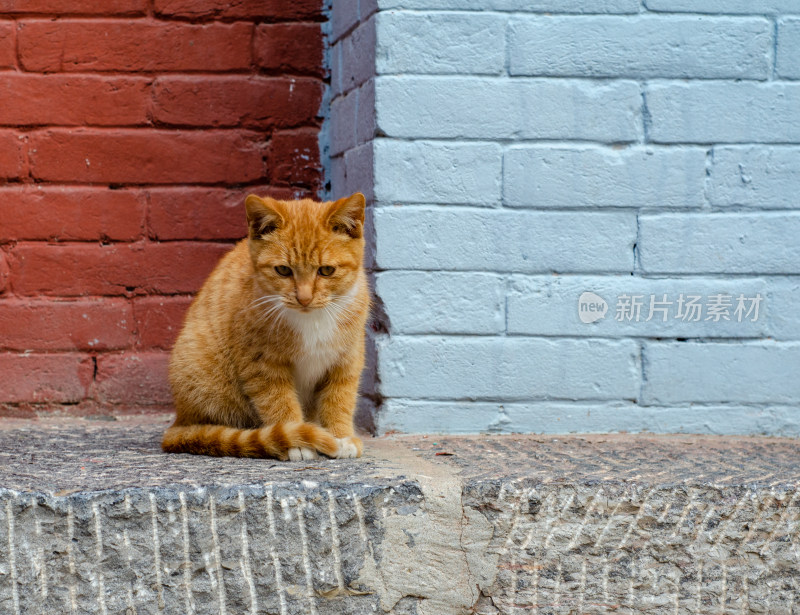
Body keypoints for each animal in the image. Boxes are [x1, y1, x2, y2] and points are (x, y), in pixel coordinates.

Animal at [162, 195, 368, 460]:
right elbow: (278, 401)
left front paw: (341, 436)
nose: (304, 298)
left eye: (326, 270)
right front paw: (296, 440)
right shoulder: (261, 364)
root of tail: (178, 421)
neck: (311, 320)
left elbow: (340, 399)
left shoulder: (346, 360)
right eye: (283, 270)